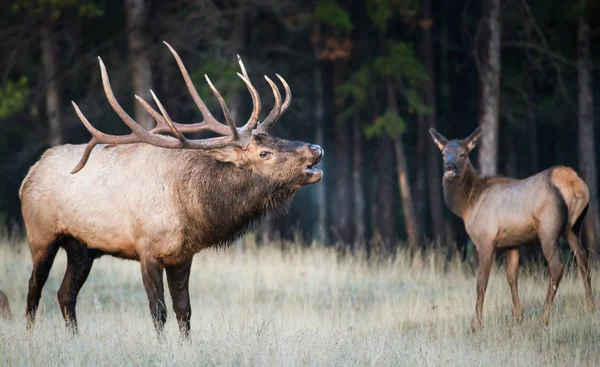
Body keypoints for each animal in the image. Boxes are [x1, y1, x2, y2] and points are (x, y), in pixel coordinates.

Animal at [19, 42, 324, 340]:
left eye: (277, 137)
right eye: (264, 152)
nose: (316, 148)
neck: (191, 210)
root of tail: (30, 173)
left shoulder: (182, 256)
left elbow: (184, 310)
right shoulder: (146, 250)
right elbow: (159, 311)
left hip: (81, 247)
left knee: (65, 294)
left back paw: (74, 338)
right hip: (41, 235)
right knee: (34, 288)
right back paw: (30, 337)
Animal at [432, 128, 596, 332]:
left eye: (463, 154)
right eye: (443, 153)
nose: (449, 168)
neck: (467, 205)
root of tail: (576, 185)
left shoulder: (485, 240)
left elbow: (481, 282)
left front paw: (475, 324)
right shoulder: (512, 243)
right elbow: (511, 278)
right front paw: (518, 318)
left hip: (548, 229)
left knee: (557, 267)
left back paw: (543, 317)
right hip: (574, 228)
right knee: (583, 260)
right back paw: (591, 308)